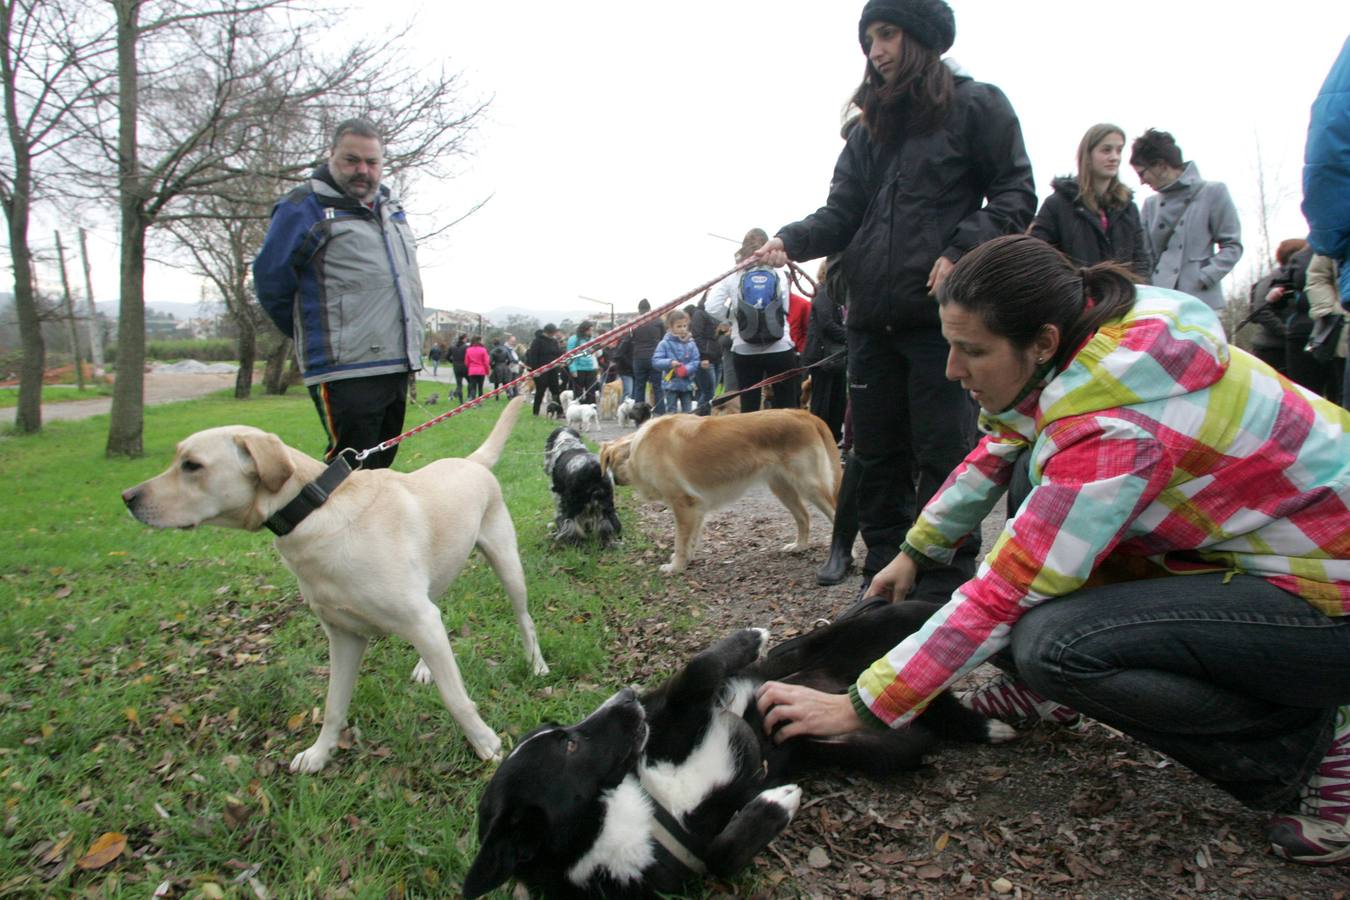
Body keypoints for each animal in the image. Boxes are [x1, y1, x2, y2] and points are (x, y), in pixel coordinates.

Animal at [121, 396, 548, 771]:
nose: (127, 497)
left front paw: (485, 742)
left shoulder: (419, 620)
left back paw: (536, 664)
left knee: (525, 619)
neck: (316, 511)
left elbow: (456, 698)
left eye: (192, 465)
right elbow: (333, 706)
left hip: (506, 564)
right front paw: (319, 754)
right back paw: (426, 666)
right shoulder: (344, 635)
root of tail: (471, 462)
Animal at [604, 410, 837, 574]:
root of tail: (804, 414)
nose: (614, 481)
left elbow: (680, 541)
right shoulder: (697, 507)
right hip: (782, 487)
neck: (636, 449)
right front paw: (686, 560)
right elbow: (691, 539)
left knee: (834, 514)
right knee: (804, 517)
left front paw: (676, 567)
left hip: (810, 485)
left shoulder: (684, 504)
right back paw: (800, 546)